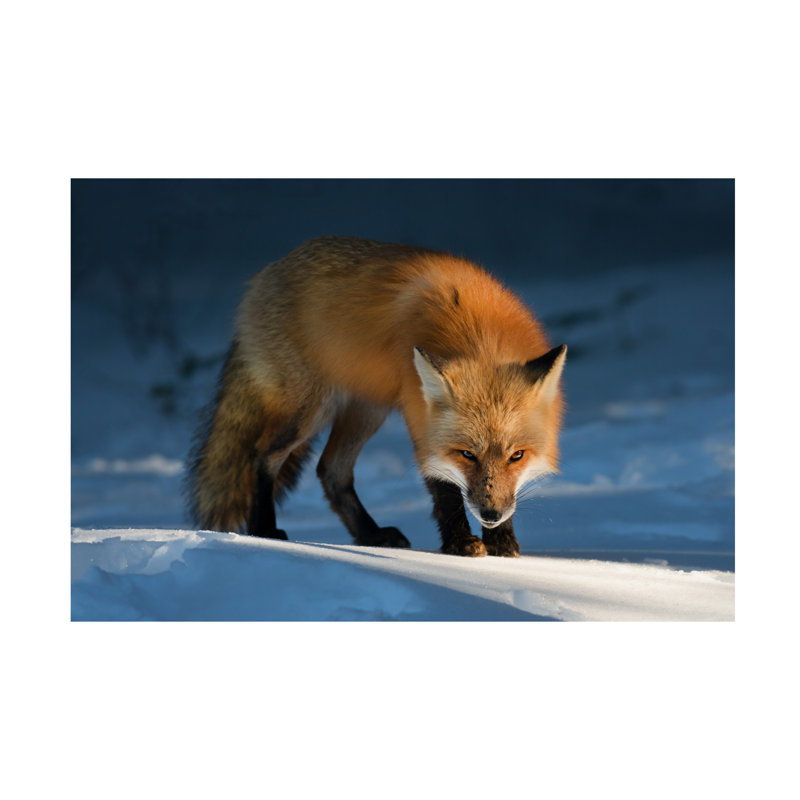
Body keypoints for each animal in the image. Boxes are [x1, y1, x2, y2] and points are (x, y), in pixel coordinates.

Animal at [185, 235, 566, 558]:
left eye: (517, 456)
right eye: (466, 454)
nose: (490, 513)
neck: (478, 335)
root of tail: (264, 274)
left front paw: (501, 541)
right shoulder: (419, 415)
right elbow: (443, 487)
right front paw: (459, 543)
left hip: (367, 411)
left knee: (331, 470)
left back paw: (369, 534)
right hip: (309, 410)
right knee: (262, 455)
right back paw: (263, 530)